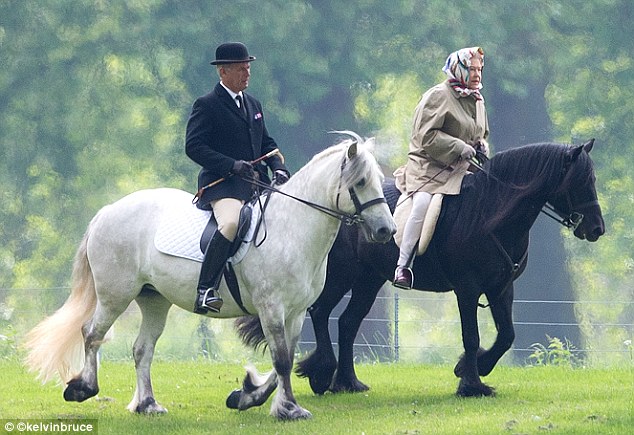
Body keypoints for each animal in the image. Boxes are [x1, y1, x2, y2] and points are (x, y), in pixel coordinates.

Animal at [25, 132, 396, 418]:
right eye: (360, 182)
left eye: (379, 182)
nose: (386, 231)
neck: (291, 228)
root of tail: (106, 211)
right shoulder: (272, 307)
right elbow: (281, 359)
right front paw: (288, 409)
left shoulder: (295, 311)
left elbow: (285, 359)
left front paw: (248, 396)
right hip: (115, 294)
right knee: (91, 333)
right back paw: (83, 388)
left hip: (154, 300)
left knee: (142, 349)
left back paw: (147, 404)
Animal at [296, 142, 604, 398]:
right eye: (579, 181)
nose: (597, 229)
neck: (489, 213)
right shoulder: (467, 289)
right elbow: (471, 336)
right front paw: (471, 385)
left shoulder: (501, 288)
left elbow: (506, 335)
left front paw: (475, 367)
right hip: (342, 274)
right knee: (320, 311)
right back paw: (322, 374)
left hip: (368, 280)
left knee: (348, 322)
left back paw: (348, 383)